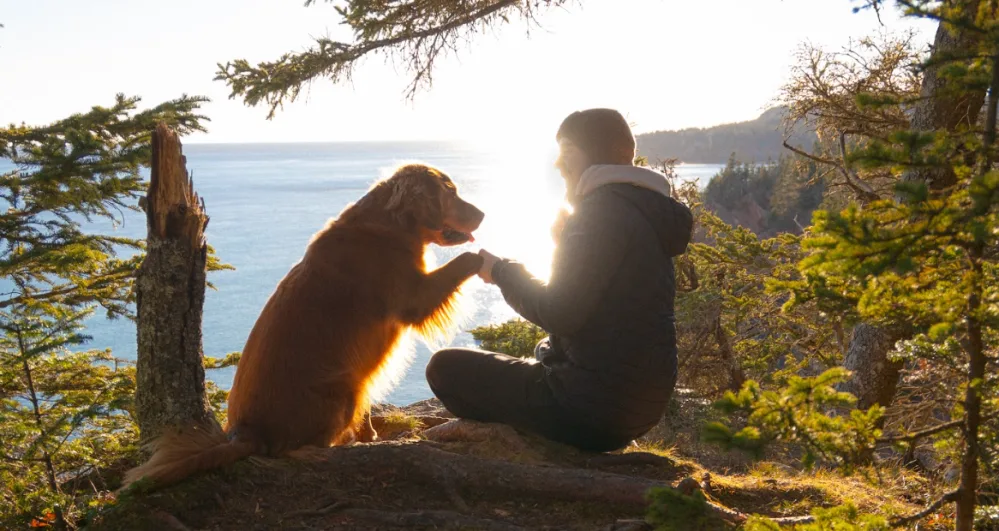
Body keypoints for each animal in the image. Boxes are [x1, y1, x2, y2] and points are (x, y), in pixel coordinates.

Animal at [124, 164, 484, 488]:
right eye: (450, 192)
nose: (482, 214)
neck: (390, 226)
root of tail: (247, 433)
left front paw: (371, 436)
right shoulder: (415, 298)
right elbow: (463, 261)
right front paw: (484, 257)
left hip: (353, 382)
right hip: (343, 386)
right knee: (302, 447)